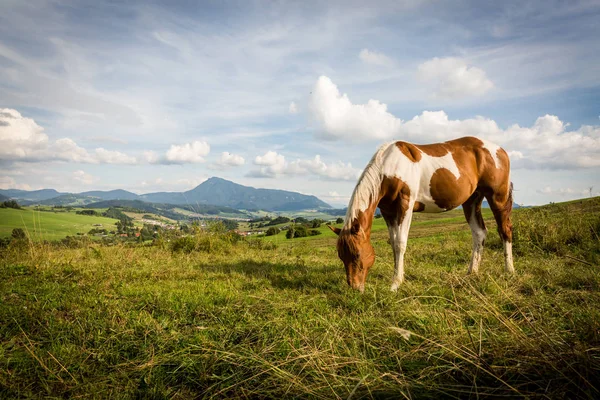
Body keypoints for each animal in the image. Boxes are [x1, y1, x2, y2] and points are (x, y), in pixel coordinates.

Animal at [330, 136, 512, 292]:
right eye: (341, 256)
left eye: (357, 254)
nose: (355, 287)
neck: (390, 167)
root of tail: (500, 150)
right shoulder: (387, 211)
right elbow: (393, 243)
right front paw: (399, 277)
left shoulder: (405, 205)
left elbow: (400, 243)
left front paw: (395, 284)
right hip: (472, 200)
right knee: (479, 233)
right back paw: (471, 273)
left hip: (497, 197)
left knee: (505, 230)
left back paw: (509, 271)